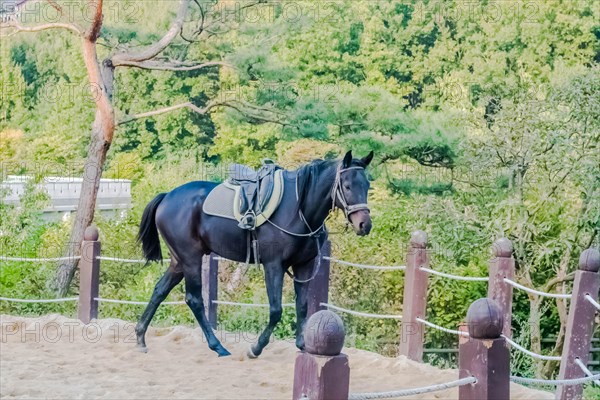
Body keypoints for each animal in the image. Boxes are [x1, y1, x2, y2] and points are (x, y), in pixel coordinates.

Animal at [135, 150, 376, 356]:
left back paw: (140, 337)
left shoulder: (303, 265)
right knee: (194, 299)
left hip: (179, 261)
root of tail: (167, 196)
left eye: (367, 185)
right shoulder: (274, 266)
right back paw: (217, 346)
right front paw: (256, 347)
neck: (298, 208)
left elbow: (302, 305)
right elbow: (276, 310)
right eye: (347, 186)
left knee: (159, 291)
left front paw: (303, 345)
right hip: (191, 259)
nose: (364, 225)